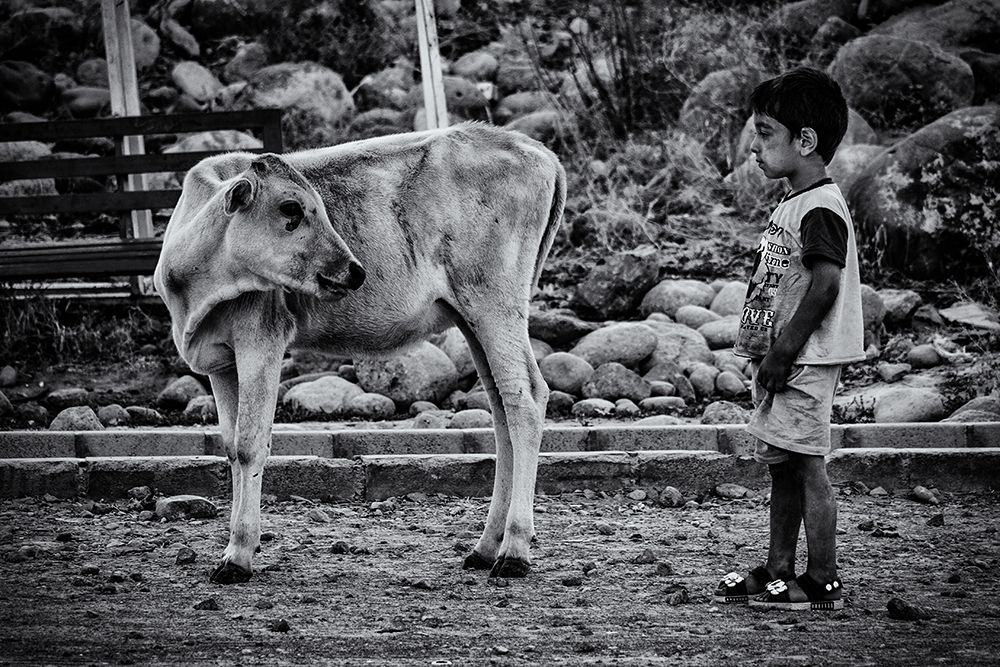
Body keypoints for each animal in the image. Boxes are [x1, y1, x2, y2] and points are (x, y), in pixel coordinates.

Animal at [153, 122, 566, 584]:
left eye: (321, 207)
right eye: (291, 208)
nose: (355, 269)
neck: (195, 293)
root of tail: (532, 148)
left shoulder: (261, 342)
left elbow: (249, 444)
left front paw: (239, 554)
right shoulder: (221, 361)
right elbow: (229, 446)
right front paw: (237, 545)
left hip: (495, 304)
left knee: (525, 398)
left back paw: (514, 550)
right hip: (471, 317)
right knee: (500, 407)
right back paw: (484, 547)